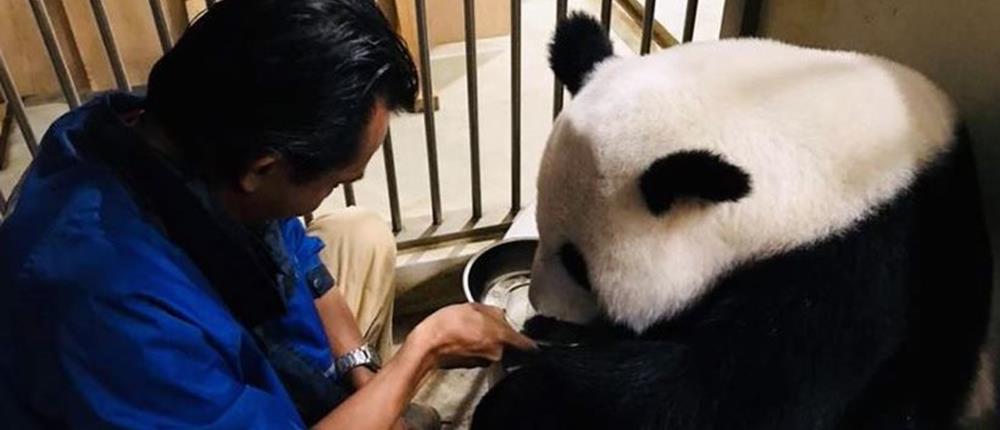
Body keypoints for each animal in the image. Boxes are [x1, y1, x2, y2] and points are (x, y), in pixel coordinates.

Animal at [471, 13, 993, 430]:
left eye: (579, 265)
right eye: (539, 224)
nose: (541, 303)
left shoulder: (858, 260)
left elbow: (730, 393)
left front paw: (520, 400)